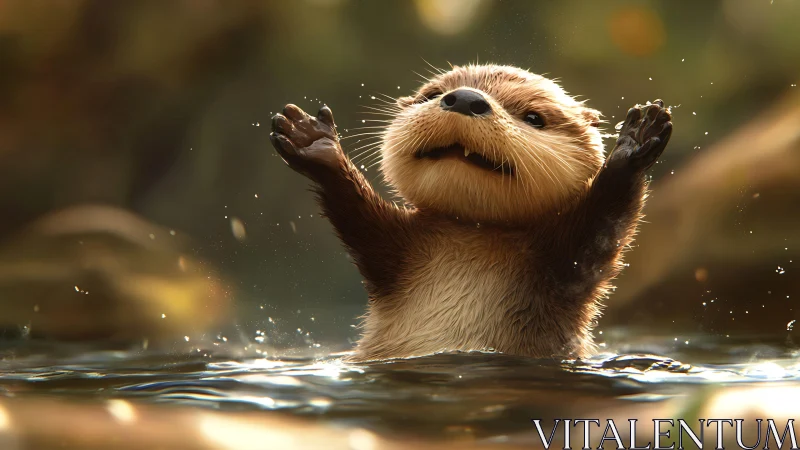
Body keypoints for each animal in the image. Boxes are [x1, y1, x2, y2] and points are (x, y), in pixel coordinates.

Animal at [269, 64, 672, 361]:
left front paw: (634, 143)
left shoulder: (566, 268)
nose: (465, 97)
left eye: (534, 117)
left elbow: (603, 228)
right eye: (432, 94)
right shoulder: (390, 250)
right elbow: (359, 220)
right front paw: (314, 142)